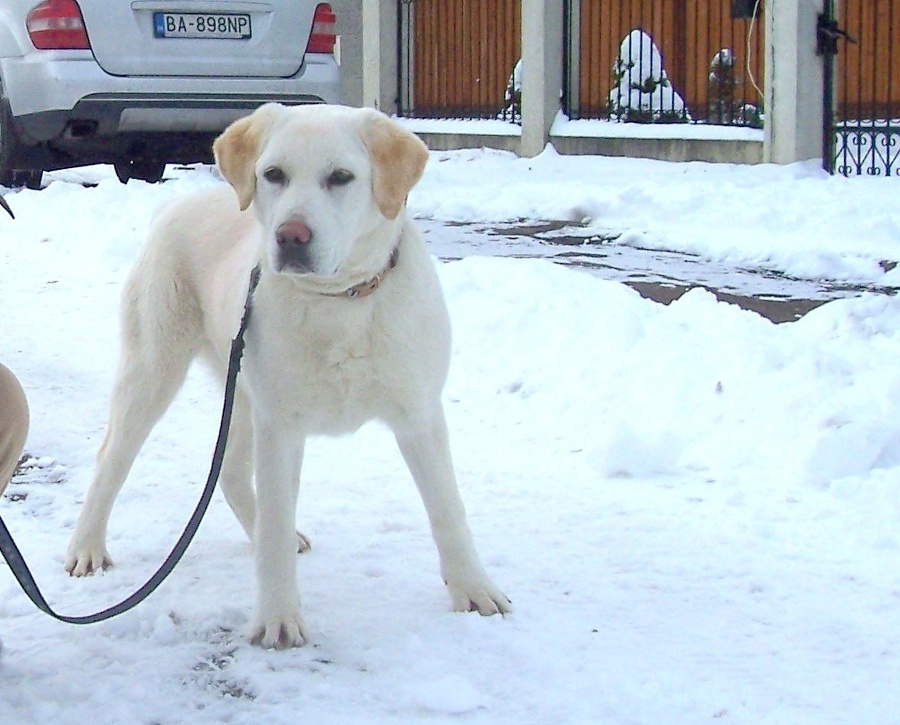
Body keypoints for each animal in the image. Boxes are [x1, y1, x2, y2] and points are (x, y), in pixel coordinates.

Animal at [67, 100, 510, 644]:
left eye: (341, 177)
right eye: (274, 174)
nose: (290, 236)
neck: (339, 300)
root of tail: (175, 205)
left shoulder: (420, 414)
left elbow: (448, 510)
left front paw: (474, 590)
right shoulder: (281, 425)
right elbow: (277, 522)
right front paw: (278, 618)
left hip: (239, 388)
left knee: (231, 470)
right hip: (154, 370)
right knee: (113, 459)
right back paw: (87, 547)